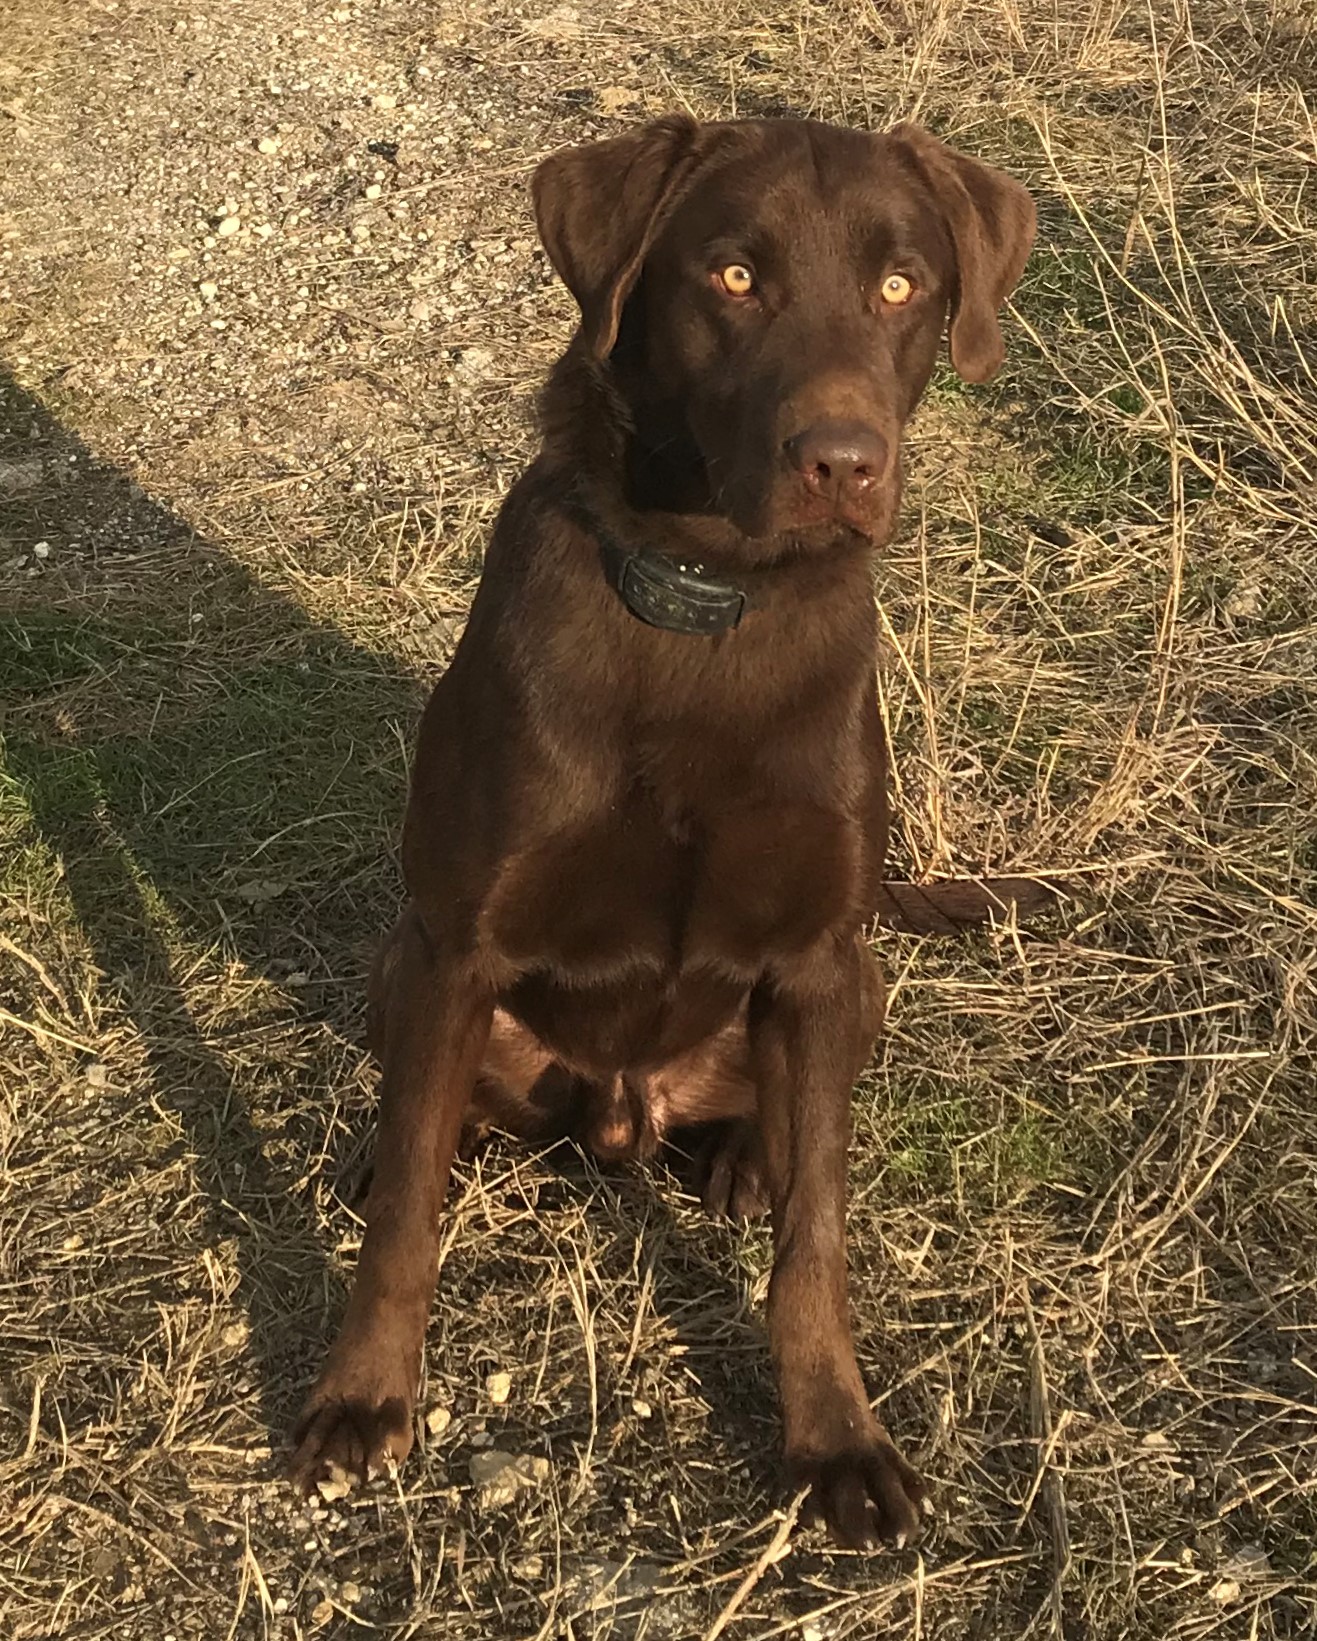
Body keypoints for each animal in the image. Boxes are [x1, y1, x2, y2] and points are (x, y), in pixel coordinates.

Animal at [293, 115, 1043, 1549]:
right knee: (424, 1119)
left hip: (860, 985)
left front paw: (837, 1440)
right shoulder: (457, 948)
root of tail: (623, 1117)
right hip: (396, 962)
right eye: (734, 277)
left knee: (795, 1120)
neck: (708, 601)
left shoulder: (817, 952)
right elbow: (409, 1216)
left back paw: (750, 1154)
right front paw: (362, 1397)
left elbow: (817, 1243)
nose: (842, 463)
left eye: (903, 286)